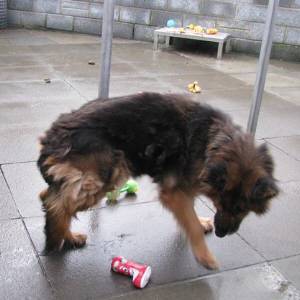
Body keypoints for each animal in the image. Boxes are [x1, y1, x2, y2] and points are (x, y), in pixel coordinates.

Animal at [37, 92, 278, 270]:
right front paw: (204, 255)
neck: (214, 140)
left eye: (241, 209)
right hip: (108, 172)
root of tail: (52, 136)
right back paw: (58, 236)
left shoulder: (188, 185)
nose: (222, 233)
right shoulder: (174, 193)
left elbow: (192, 212)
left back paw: (67, 235)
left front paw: (201, 222)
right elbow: (191, 224)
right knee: (57, 204)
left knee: (49, 195)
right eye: (222, 203)